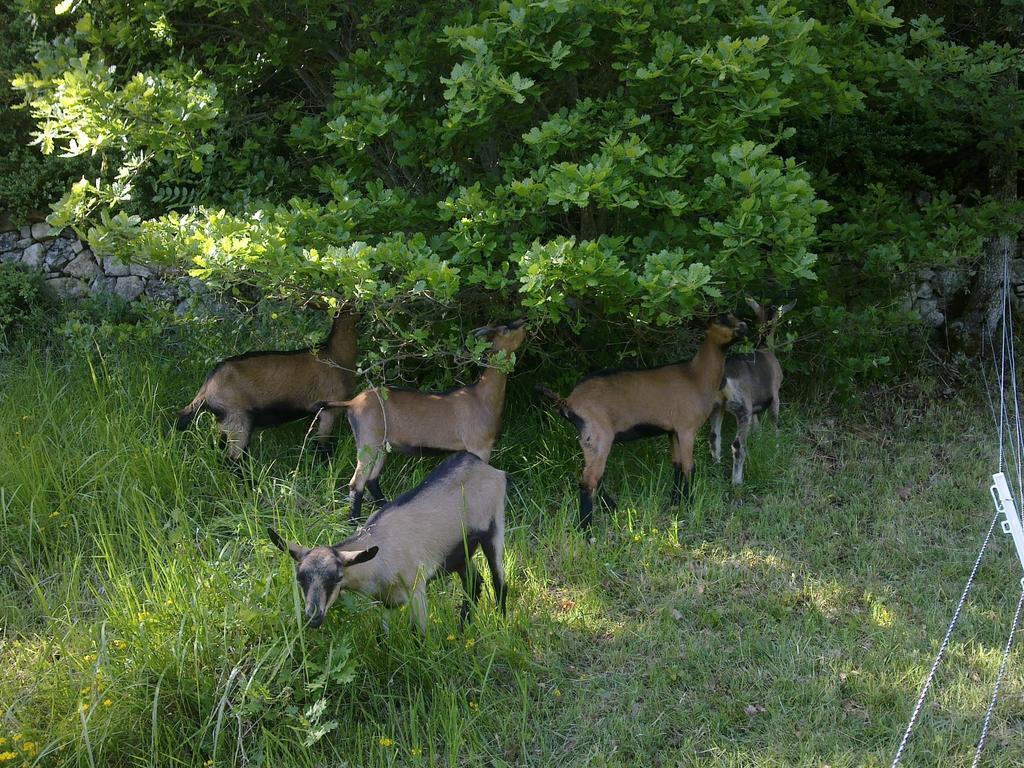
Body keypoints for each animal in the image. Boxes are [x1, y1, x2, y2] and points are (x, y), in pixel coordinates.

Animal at [173, 309, 356, 460]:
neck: (334, 355)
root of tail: (206, 389)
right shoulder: (328, 410)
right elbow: (322, 446)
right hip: (238, 419)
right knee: (233, 458)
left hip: (224, 423)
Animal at [264, 450, 503, 630]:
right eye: (299, 578)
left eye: (338, 577)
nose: (313, 618)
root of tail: (479, 463)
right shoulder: (384, 601)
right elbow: (383, 634)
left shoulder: (416, 589)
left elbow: (419, 635)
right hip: (458, 553)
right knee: (474, 583)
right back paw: (463, 629)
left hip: (494, 529)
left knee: (499, 582)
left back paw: (501, 623)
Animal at [319, 315, 528, 520]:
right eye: (504, 329)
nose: (524, 322)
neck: (481, 397)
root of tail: (352, 402)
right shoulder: (479, 446)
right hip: (368, 442)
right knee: (357, 483)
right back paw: (355, 522)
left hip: (381, 445)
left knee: (371, 479)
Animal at [536, 313, 745, 528]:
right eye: (721, 320)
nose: (744, 326)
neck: (696, 376)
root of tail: (568, 401)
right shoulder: (687, 429)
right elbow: (689, 467)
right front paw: (690, 505)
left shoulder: (673, 431)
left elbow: (677, 466)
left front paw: (675, 502)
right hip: (598, 435)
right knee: (589, 481)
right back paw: (586, 528)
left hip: (590, 440)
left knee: (593, 476)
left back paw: (610, 508)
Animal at [708, 296, 794, 483]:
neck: (764, 347)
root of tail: (723, 379)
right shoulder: (775, 396)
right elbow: (774, 424)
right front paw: (776, 448)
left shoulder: (754, 406)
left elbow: (757, 426)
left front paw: (759, 440)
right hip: (742, 407)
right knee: (737, 444)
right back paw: (737, 482)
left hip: (717, 407)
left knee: (714, 437)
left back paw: (716, 470)